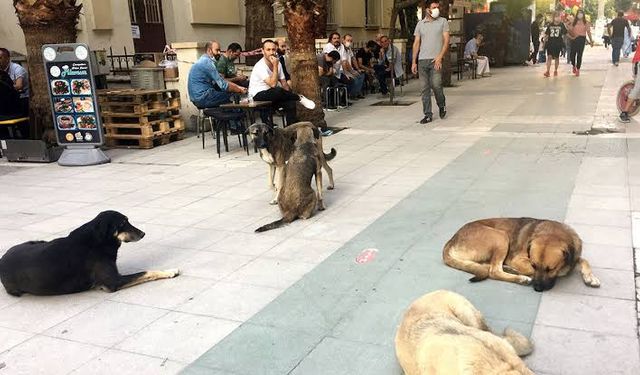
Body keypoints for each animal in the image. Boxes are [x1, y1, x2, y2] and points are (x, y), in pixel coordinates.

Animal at [0, 212, 180, 296]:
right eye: (123, 223)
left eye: (128, 220)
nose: (143, 233)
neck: (98, 240)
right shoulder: (113, 282)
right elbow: (146, 272)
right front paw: (169, 271)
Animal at [442, 217, 604, 294]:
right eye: (534, 264)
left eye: (551, 269)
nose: (537, 289)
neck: (553, 232)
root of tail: (451, 239)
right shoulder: (519, 259)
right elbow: (527, 268)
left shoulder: (574, 256)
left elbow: (584, 260)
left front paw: (590, 277)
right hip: (500, 236)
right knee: (493, 271)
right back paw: (520, 278)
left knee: (488, 267)